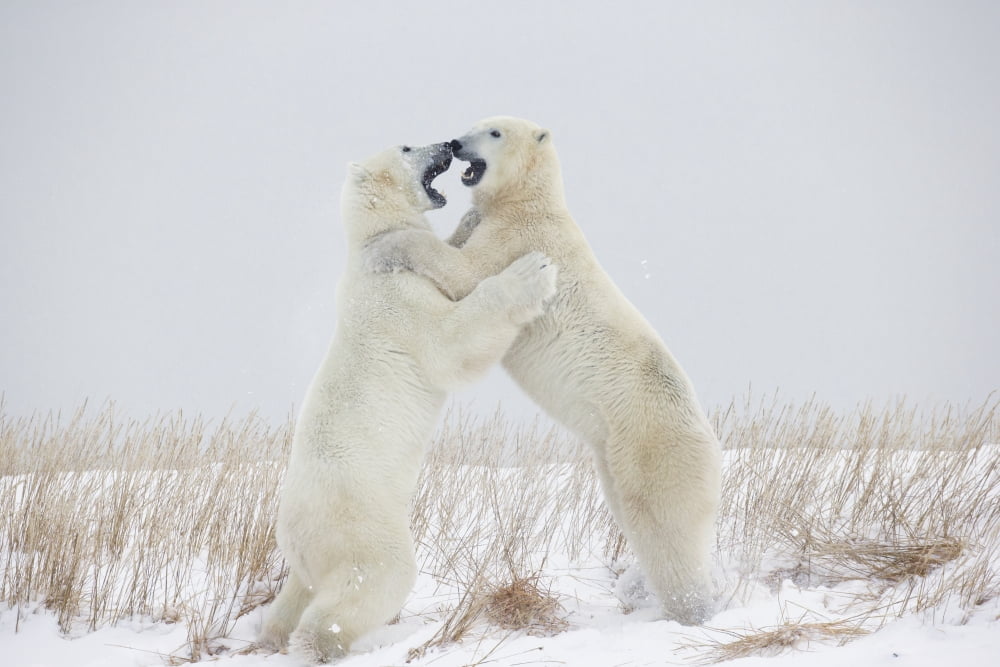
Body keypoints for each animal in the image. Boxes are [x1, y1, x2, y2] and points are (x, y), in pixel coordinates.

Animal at [258, 140, 558, 663]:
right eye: (408, 146)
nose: (448, 144)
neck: (368, 246)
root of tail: (291, 531)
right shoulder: (397, 299)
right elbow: (450, 345)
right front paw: (531, 272)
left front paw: (470, 222)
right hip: (360, 518)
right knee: (375, 579)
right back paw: (331, 643)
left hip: (316, 550)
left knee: (299, 593)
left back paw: (274, 631)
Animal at [365, 117, 722, 625]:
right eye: (475, 124)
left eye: (493, 132)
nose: (455, 143)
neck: (531, 199)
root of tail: (712, 445)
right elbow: (463, 240)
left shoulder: (520, 237)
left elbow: (465, 272)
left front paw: (384, 244)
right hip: (615, 458)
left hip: (655, 449)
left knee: (666, 527)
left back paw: (691, 608)